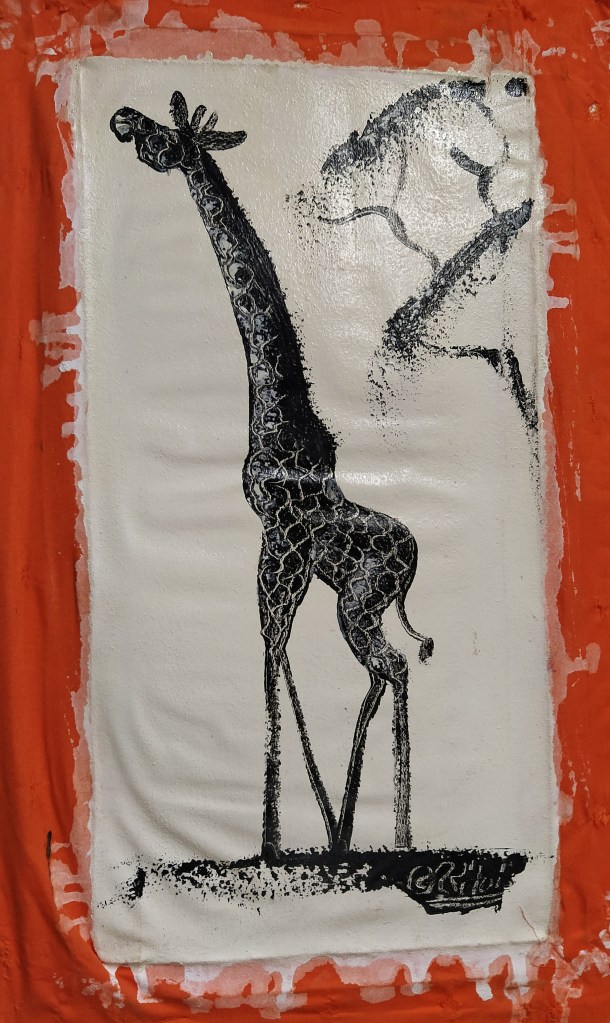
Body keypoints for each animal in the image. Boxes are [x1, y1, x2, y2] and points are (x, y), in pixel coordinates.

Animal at [110, 92, 433, 861]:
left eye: (166, 136)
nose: (122, 118)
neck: (281, 418)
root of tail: (415, 560)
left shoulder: (278, 539)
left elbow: (268, 655)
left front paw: (270, 839)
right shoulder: (285, 553)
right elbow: (278, 656)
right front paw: (294, 829)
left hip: (358, 604)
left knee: (391, 668)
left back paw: (386, 835)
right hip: (363, 603)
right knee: (385, 674)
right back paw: (351, 831)